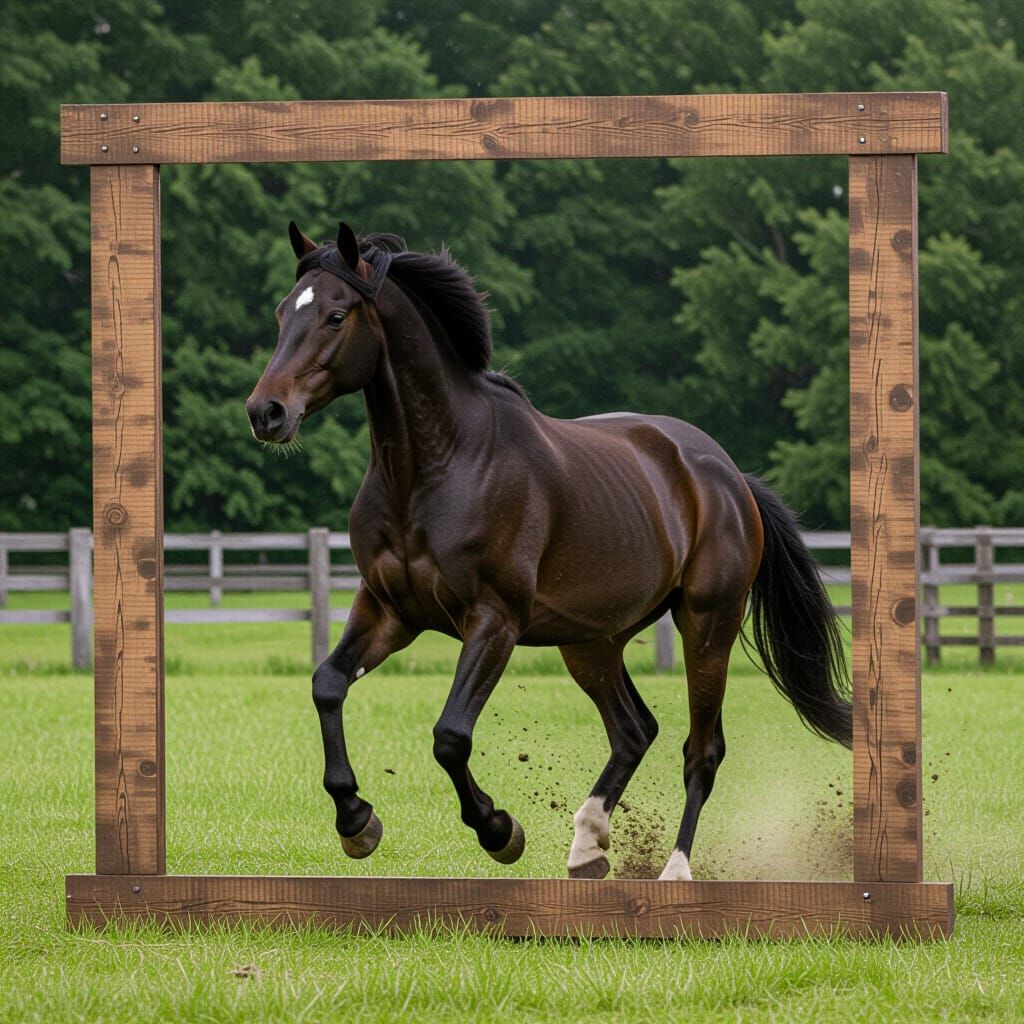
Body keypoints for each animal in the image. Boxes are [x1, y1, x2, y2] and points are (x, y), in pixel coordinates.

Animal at [246, 221, 852, 881]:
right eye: (281, 312)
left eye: (335, 316)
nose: (266, 412)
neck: (433, 470)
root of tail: (728, 475)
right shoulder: (389, 611)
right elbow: (328, 685)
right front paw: (357, 821)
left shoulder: (494, 621)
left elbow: (450, 735)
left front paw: (498, 829)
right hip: (591, 640)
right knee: (635, 729)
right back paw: (588, 844)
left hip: (707, 623)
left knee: (702, 748)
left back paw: (674, 870)